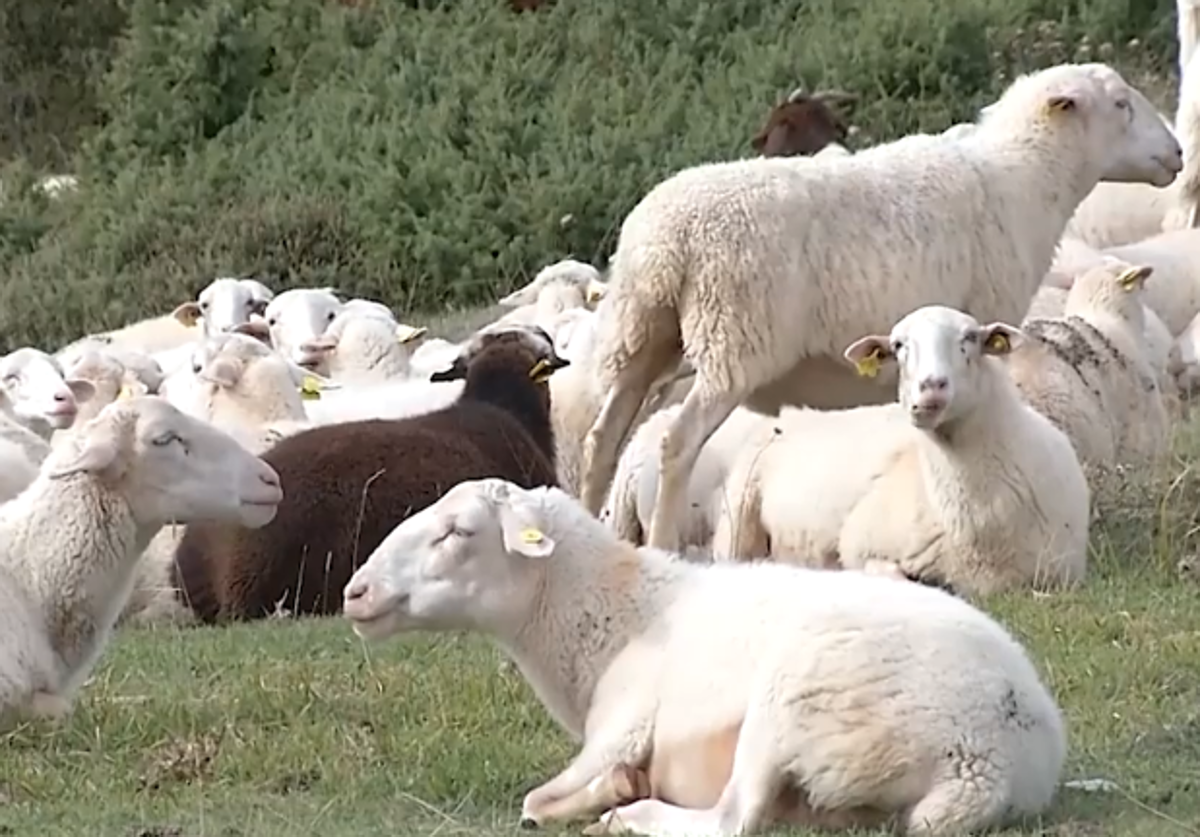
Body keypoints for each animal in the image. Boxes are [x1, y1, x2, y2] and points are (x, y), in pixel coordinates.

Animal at [343, 474, 1065, 834]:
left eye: (457, 532)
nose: (355, 591)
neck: (618, 615)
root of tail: (991, 755)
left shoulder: (620, 725)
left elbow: (537, 801)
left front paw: (609, 792)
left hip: (791, 698)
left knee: (733, 818)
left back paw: (630, 816)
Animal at [578, 62, 1180, 551]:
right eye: (1121, 104)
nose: (1176, 154)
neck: (1019, 179)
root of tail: (662, 243)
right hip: (733, 343)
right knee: (676, 444)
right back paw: (660, 542)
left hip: (644, 338)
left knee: (601, 440)